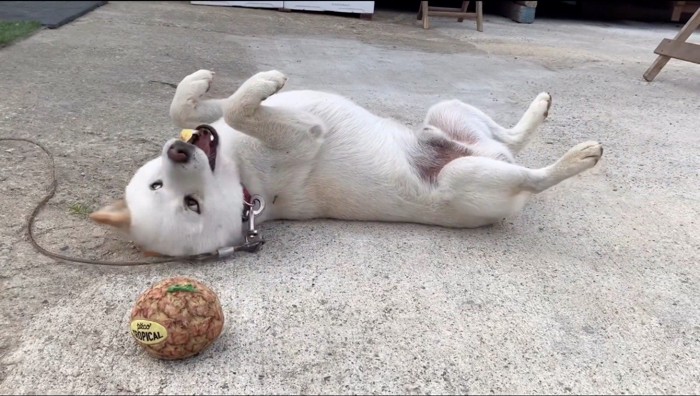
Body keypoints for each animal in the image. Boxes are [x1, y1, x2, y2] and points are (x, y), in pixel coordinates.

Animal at [89, 70, 600, 256]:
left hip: (448, 113)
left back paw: (538, 109)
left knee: (510, 137)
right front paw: (263, 82)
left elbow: (198, 107)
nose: (179, 152)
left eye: (157, 183)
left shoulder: (221, 125)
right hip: (470, 176)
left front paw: (198, 85)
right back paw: (577, 157)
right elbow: (237, 108)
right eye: (189, 204)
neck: (242, 178)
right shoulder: (301, 133)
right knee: (533, 176)